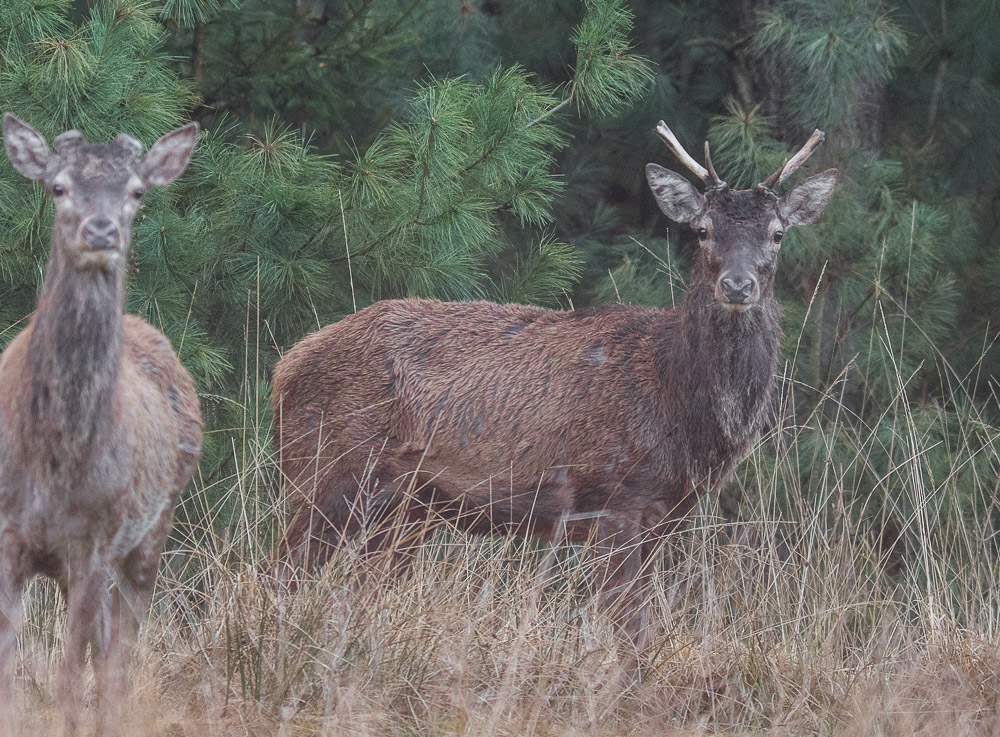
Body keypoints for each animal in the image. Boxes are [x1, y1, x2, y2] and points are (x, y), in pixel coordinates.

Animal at [0, 113, 203, 732]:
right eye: (57, 186)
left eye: (136, 192)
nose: (101, 230)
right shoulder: (7, 534)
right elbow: (9, 673)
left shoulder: (93, 539)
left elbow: (68, 678)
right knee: (106, 648)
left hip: (153, 530)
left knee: (116, 663)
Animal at [272, 121, 836, 648]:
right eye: (702, 230)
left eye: (777, 233)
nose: (737, 285)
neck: (675, 395)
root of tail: (285, 367)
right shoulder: (613, 497)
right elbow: (628, 629)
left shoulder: (666, 515)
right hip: (327, 468)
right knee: (281, 570)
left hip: (405, 509)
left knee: (356, 589)